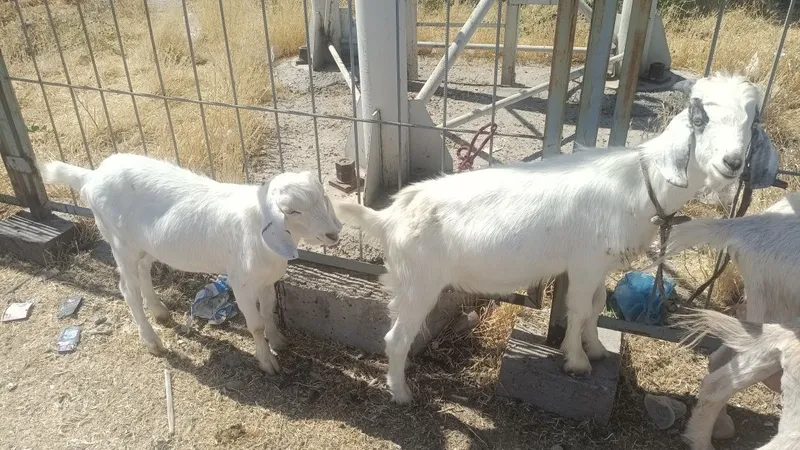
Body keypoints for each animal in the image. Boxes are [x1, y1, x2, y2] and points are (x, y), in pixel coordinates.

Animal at [39, 153, 342, 374]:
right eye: (292, 211)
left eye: (322, 198)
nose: (333, 234)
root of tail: (92, 175)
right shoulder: (241, 282)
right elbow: (255, 324)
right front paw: (267, 361)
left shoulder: (267, 280)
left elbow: (269, 310)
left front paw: (278, 341)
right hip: (120, 243)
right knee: (128, 290)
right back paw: (153, 341)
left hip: (144, 246)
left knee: (144, 271)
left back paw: (159, 311)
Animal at [334, 73, 779, 404]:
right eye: (701, 119)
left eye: (749, 123)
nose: (732, 163)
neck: (641, 181)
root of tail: (389, 215)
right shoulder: (583, 263)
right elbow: (579, 309)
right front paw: (577, 361)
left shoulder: (599, 264)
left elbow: (596, 306)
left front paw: (596, 349)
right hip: (418, 283)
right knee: (396, 338)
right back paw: (401, 393)